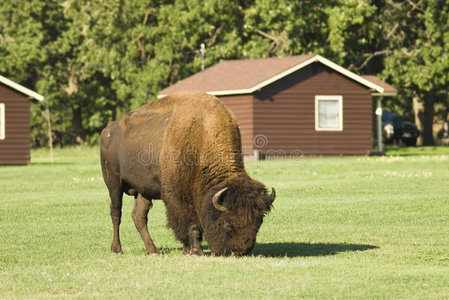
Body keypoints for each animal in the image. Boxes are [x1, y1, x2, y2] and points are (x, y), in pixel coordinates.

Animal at [100, 91, 274, 255]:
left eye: (258, 224)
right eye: (227, 224)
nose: (239, 252)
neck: (202, 134)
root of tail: (107, 131)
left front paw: (187, 250)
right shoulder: (179, 198)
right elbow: (190, 224)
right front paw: (196, 251)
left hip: (143, 191)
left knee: (139, 217)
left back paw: (153, 250)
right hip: (113, 184)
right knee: (116, 213)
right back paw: (117, 249)